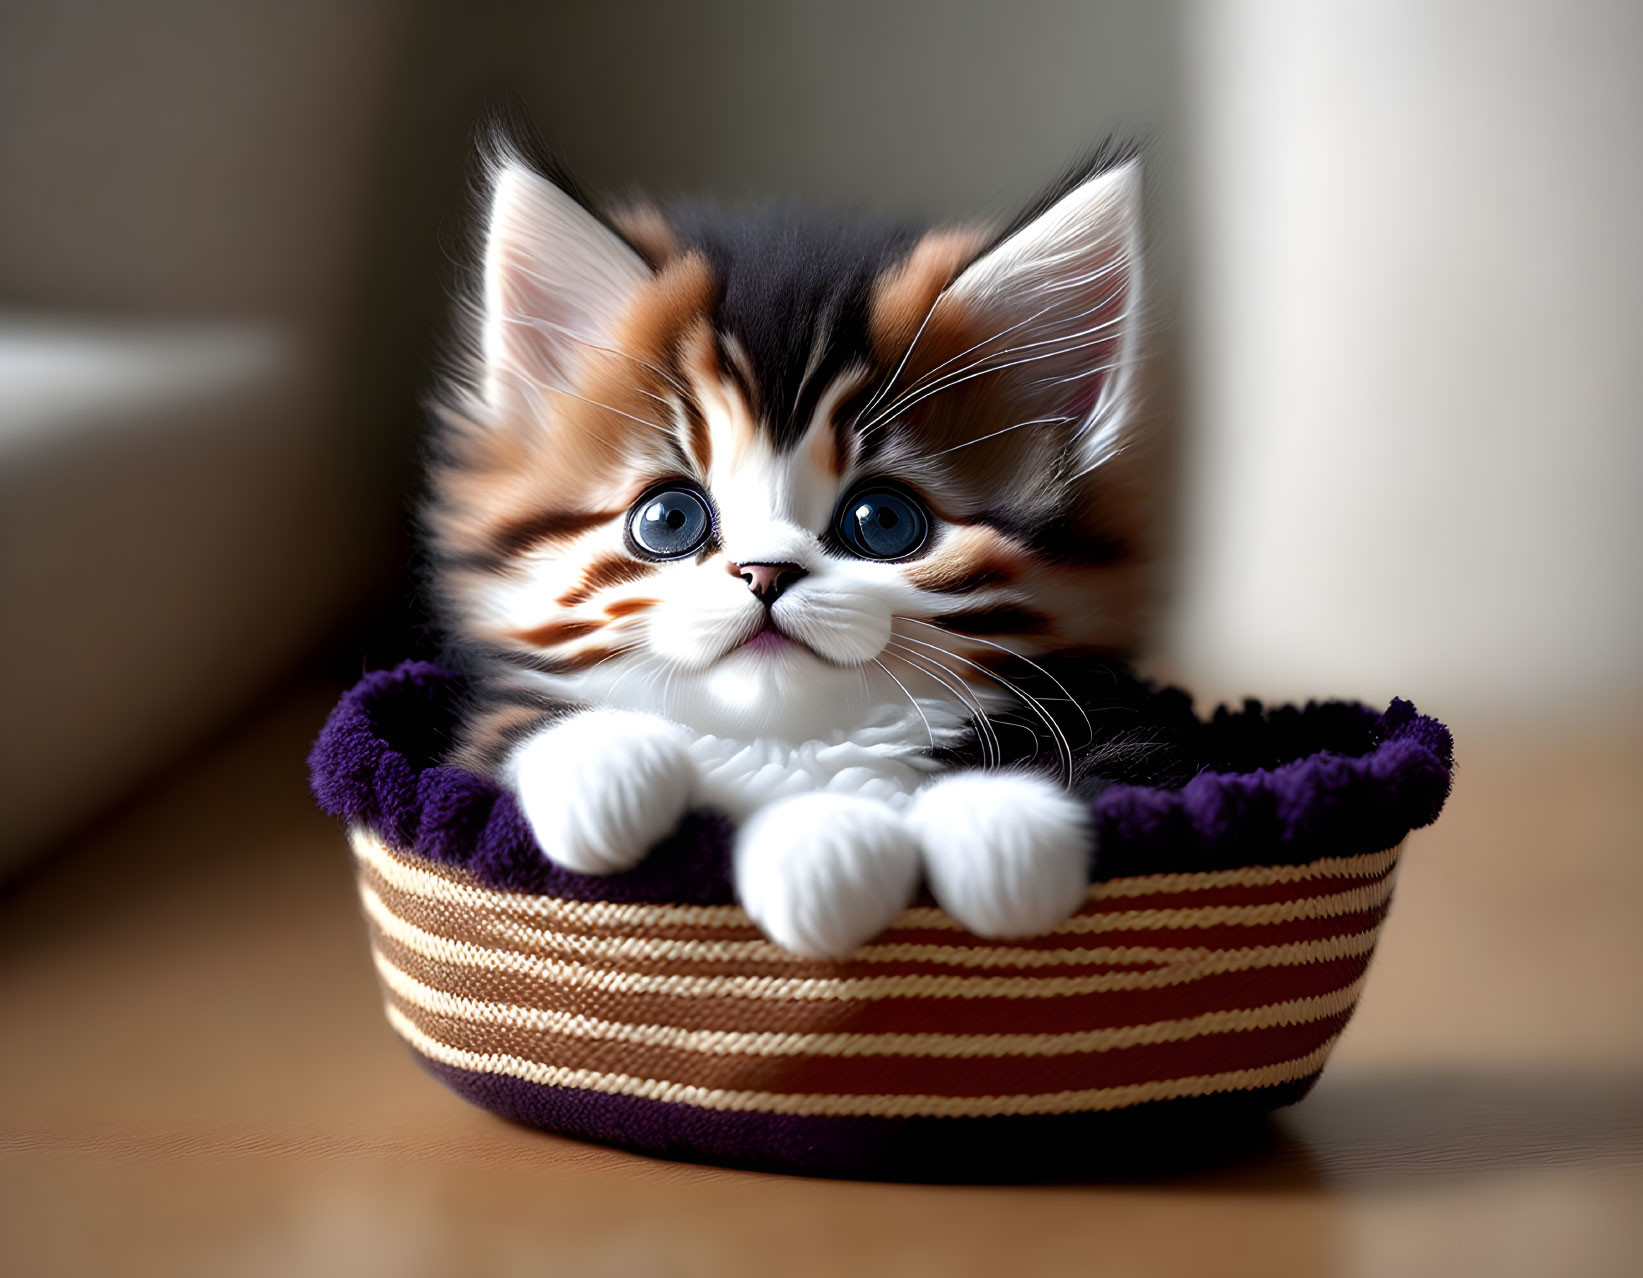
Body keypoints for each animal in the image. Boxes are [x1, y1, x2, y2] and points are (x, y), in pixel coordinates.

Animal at [423, 139, 1156, 959]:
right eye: (668, 520)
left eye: (883, 522)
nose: (765, 571)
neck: (789, 748)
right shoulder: (479, 752)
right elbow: (520, 733)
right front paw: (601, 775)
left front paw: (993, 829)